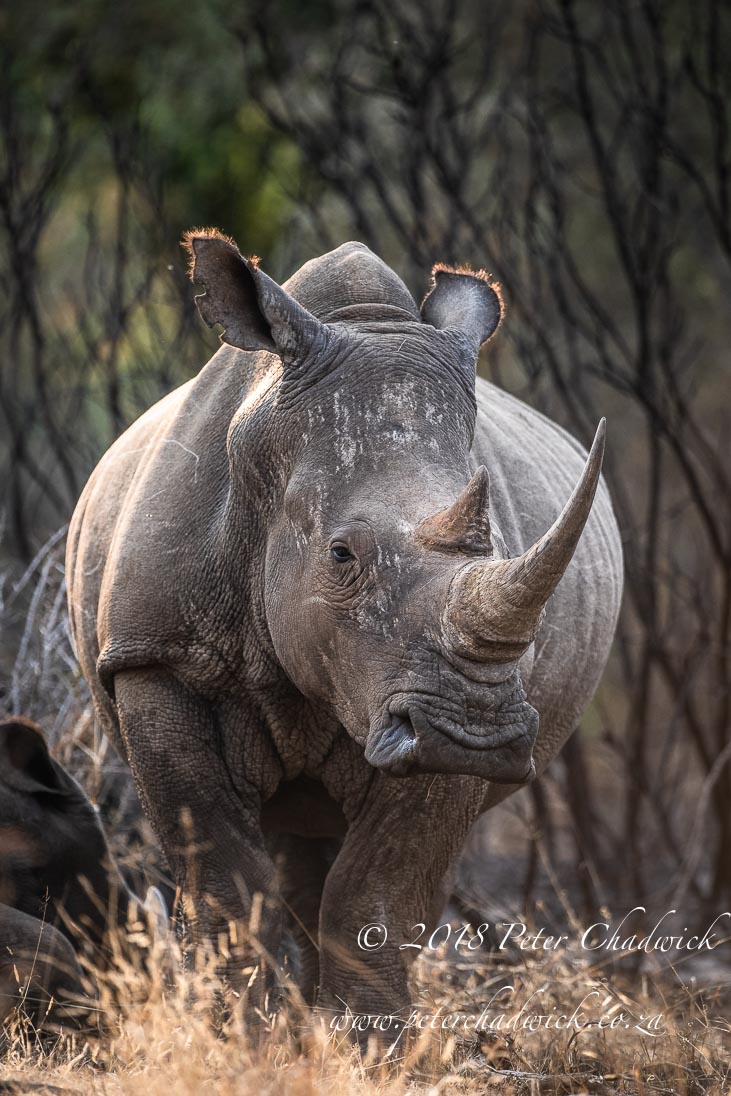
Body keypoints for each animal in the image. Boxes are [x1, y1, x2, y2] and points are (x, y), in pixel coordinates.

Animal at [66, 232, 623, 1037]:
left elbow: (376, 896)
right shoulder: (155, 658)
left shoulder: (433, 714)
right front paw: (242, 1040)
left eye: (494, 547)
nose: (478, 733)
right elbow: (224, 879)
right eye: (340, 556)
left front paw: (366, 1048)